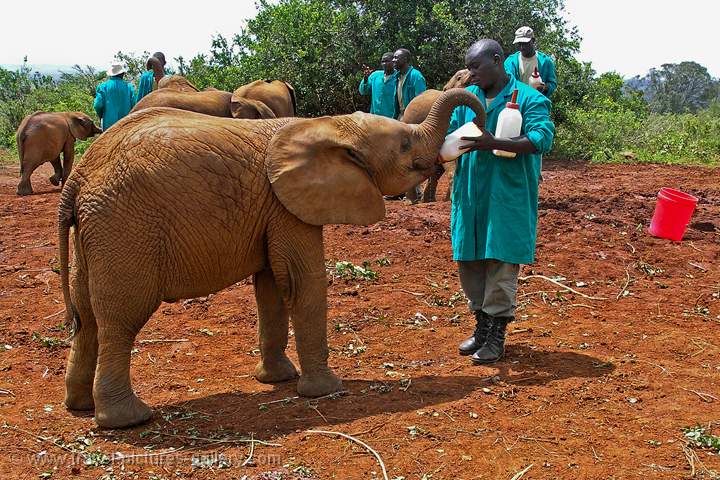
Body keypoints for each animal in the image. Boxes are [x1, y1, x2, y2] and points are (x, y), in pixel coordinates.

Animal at [56, 88, 484, 430]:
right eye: (406, 146)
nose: (476, 127)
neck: (330, 127)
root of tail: (78, 180)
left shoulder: (272, 209)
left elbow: (272, 287)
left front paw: (278, 379)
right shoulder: (287, 206)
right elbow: (301, 280)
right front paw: (325, 390)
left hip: (96, 232)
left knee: (86, 316)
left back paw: (79, 405)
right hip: (124, 226)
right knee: (120, 319)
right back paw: (128, 420)